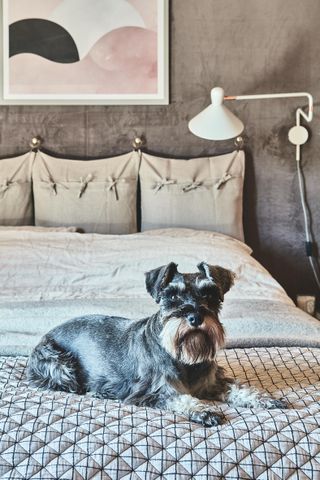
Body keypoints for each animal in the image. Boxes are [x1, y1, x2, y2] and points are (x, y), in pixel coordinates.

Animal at [28, 260, 288, 426]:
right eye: (172, 296)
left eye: (209, 294)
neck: (184, 359)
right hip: (58, 364)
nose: (195, 318)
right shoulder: (153, 391)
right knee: (69, 386)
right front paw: (203, 410)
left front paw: (265, 399)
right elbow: (181, 398)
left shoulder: (213, 382)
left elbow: (241, 389)